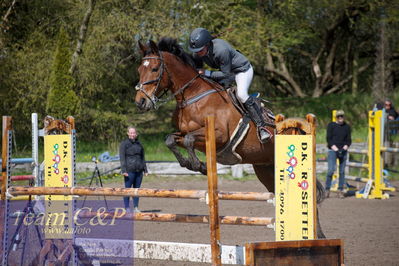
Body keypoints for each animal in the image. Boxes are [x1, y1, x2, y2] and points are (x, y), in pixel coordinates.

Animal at [136, 38, 326, 239]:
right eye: (139, 70)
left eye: (155, 69)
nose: (140, 102)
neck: (192, 97)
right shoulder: (185, 134)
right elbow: (171, 140)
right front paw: (189, 164)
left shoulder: (218, 135)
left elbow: (188, 140)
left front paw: (199, 166)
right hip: (266, 170)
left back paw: (318, 236)